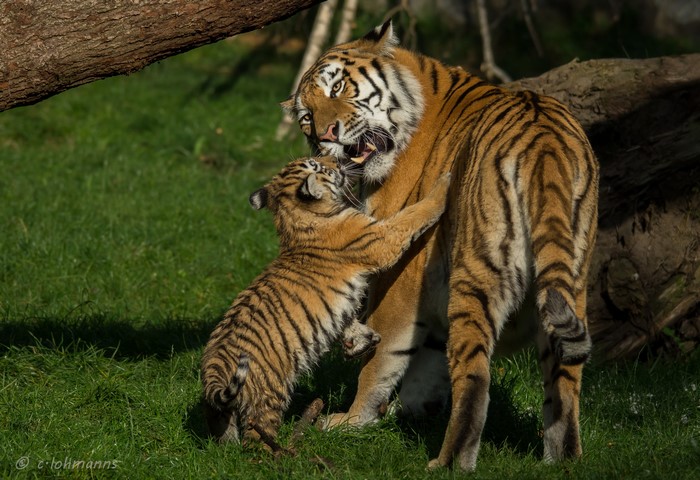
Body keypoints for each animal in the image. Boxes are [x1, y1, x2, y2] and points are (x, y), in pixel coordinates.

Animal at [200, 155, 450, 446]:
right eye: (319, 167)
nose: (337, 158)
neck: (293, 215)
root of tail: (214, 370)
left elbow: (346, 321)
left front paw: (360, 341)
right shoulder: (381, 237)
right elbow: (413, 214)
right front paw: (445, 182)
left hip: (222, 417)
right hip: (266, 394)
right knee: (256, 436)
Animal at [281, 20, 599, 470]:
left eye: (337, 87)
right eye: (306, 118)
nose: (324, 134)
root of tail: (546, 144)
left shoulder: (400, 276)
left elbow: (380, 358)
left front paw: (351, 421)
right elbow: (424, 361)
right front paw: (408, 410)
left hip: (477, 275)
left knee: (475, 377)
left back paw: (448, 463)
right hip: (572, 282)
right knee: (566, 382)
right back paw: (562, 461)